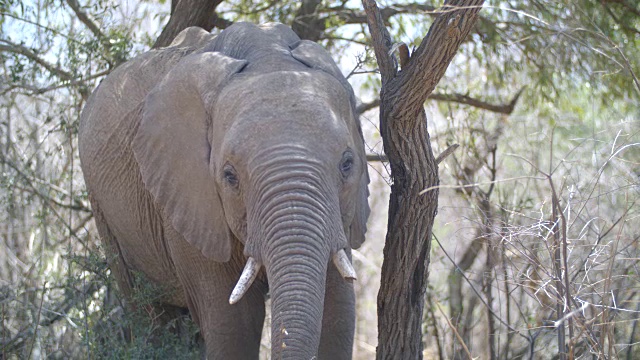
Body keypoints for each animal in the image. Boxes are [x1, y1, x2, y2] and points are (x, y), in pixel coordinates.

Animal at [79, 21, 370, 358]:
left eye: (347, 164)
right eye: (230, 176)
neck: (266, 53)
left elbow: (338, 312)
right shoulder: (186, 195)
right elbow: (234, 324)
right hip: (103, 209)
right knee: (149, 313)